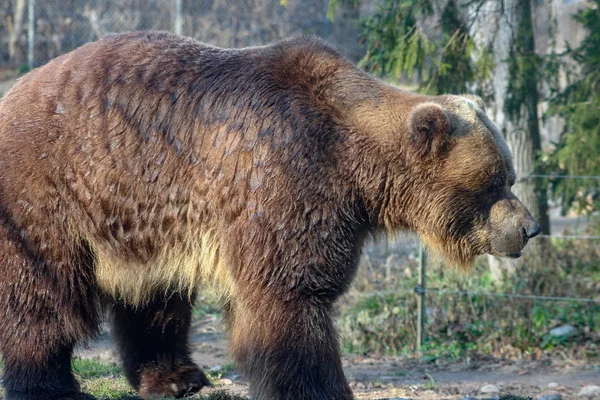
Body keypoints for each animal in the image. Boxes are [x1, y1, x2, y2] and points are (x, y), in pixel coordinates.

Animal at [0, 32, 540, 400]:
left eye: (509, 175)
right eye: (497, 181)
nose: (530, 227)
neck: (356, 167)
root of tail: (14, 92)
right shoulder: (285, 176)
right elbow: (290, 295)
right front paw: (321, 389)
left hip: (141, 217)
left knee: (156, 300)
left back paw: (177, 378)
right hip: (55, 191)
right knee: (43, 294)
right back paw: (51, 385)